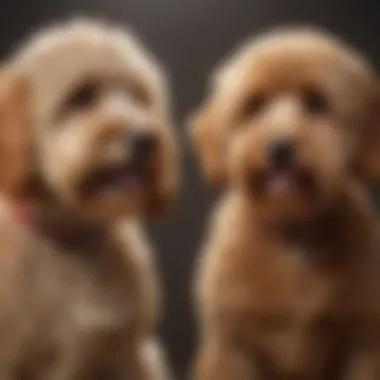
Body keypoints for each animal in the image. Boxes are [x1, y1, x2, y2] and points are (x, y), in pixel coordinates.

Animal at [190, 27, 380, 380]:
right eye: (255, 104)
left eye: (317, 102)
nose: (279, 147)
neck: (293, 234)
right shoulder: (233, 347)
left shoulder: (363, 344)